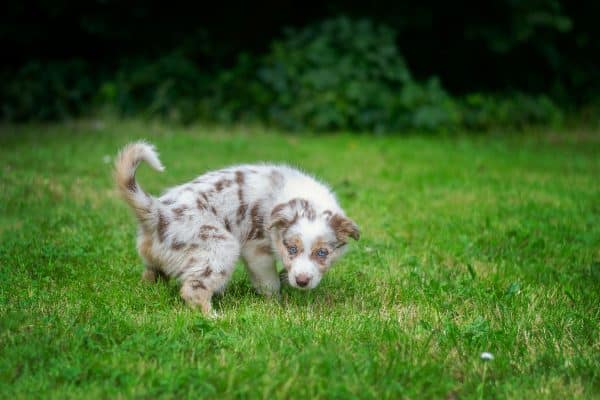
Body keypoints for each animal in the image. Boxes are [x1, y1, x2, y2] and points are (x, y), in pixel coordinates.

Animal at [115, 141, 358, 316]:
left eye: (322, 253)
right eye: (291, 249)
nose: (302, 282)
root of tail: (157, 211)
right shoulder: (256, 250)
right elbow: (269, 283)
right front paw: (278, 304)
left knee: (151, 275)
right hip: (221, 247)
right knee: (193, 289)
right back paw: (214, 317)